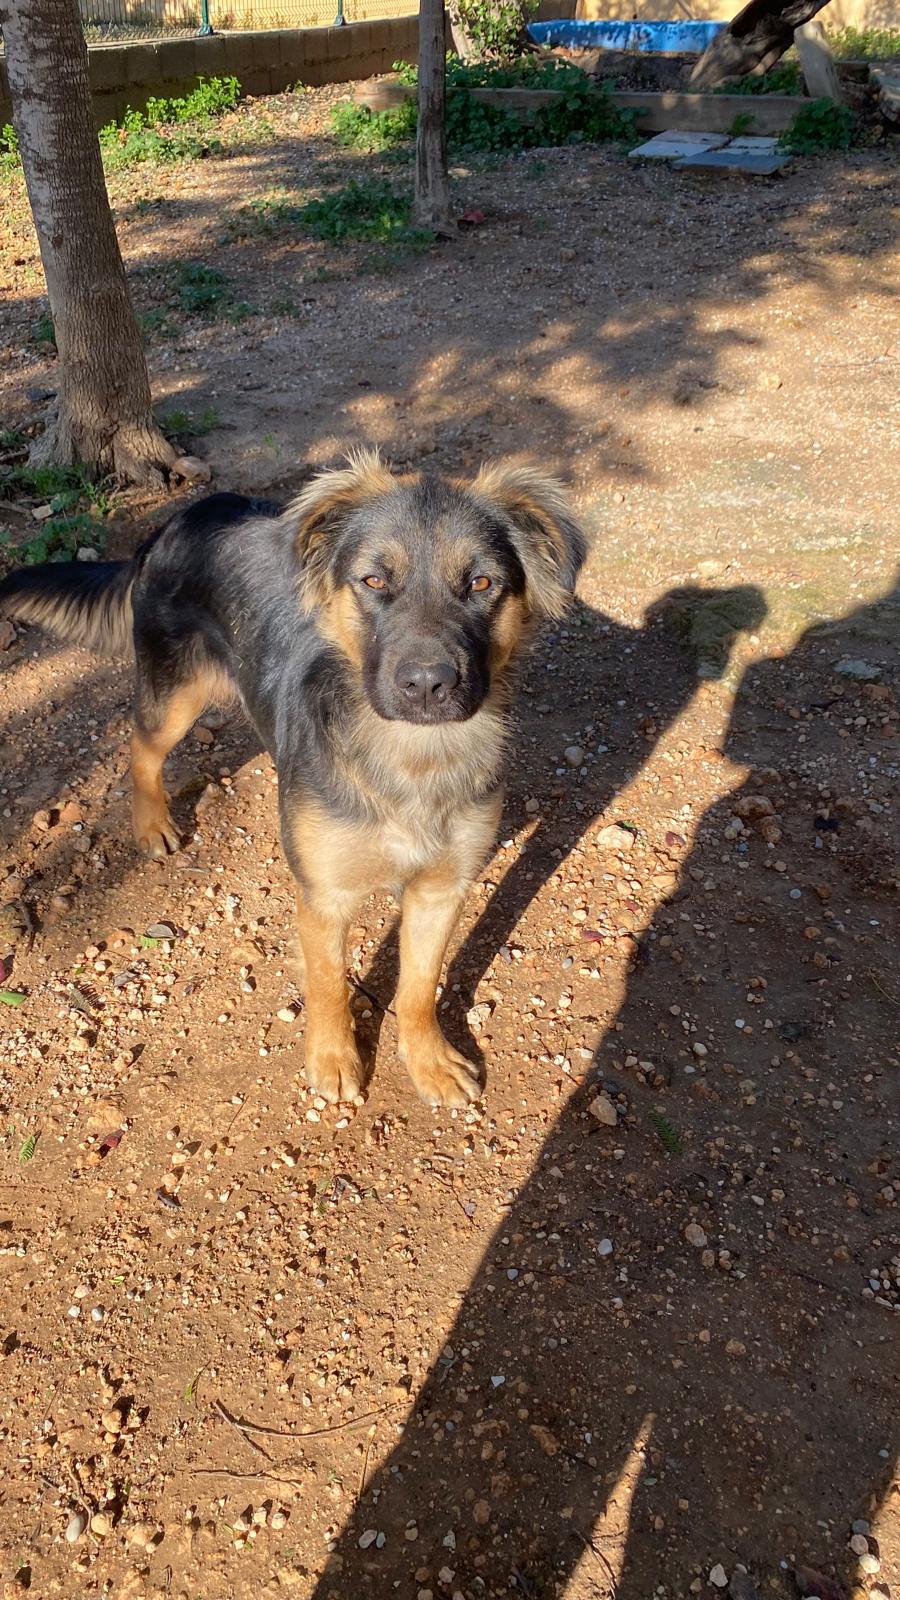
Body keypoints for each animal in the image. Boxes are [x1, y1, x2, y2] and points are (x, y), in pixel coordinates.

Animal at [0, 454, 586, 1106]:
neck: (410, 757)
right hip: (175, 693)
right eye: (373, 581)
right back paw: (152, 823)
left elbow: (418, 985)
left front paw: (429, 1060)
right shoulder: (323, 894)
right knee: (140, 748)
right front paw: (334, 1058)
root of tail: (183, 515)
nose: (427, 684)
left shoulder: (442, 887)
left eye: (481, 584)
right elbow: (329, 983)